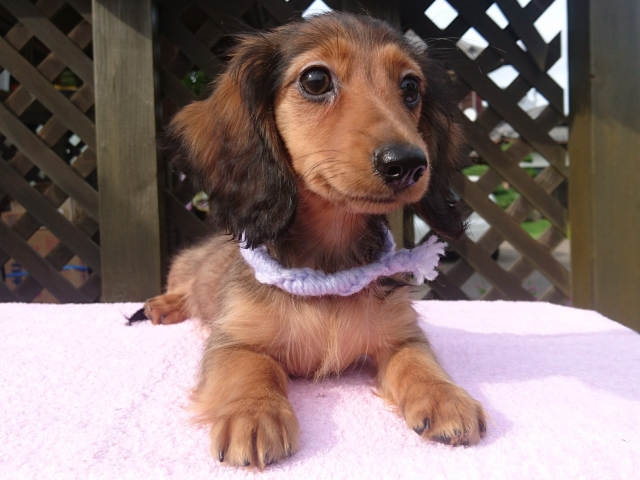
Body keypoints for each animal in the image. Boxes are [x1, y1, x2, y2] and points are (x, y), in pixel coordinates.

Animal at [145, 12, 486, 469]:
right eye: (316, 80)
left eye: (410, 87)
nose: (409, 163)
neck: (327, 267)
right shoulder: (233, 340)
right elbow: (252, 369)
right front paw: (253, 412)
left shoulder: (401, 333)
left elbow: (418, 361)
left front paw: (445, 396)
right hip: (186, 269)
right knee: (183, 290)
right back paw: (162, 305)